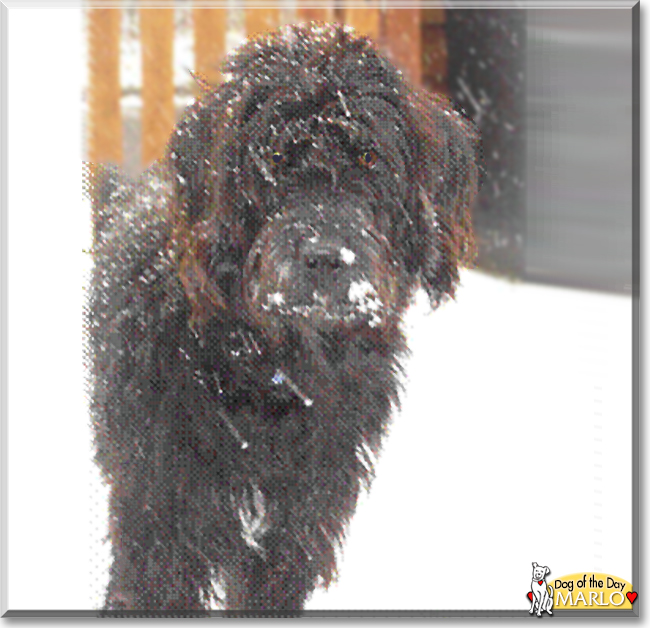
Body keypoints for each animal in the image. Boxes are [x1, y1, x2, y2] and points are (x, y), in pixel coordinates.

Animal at [86, 20, 480, 612]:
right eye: (273, 159)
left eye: (371, 160)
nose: (325, 258)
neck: (269, 372)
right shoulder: (160, 523)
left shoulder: (298, 527)